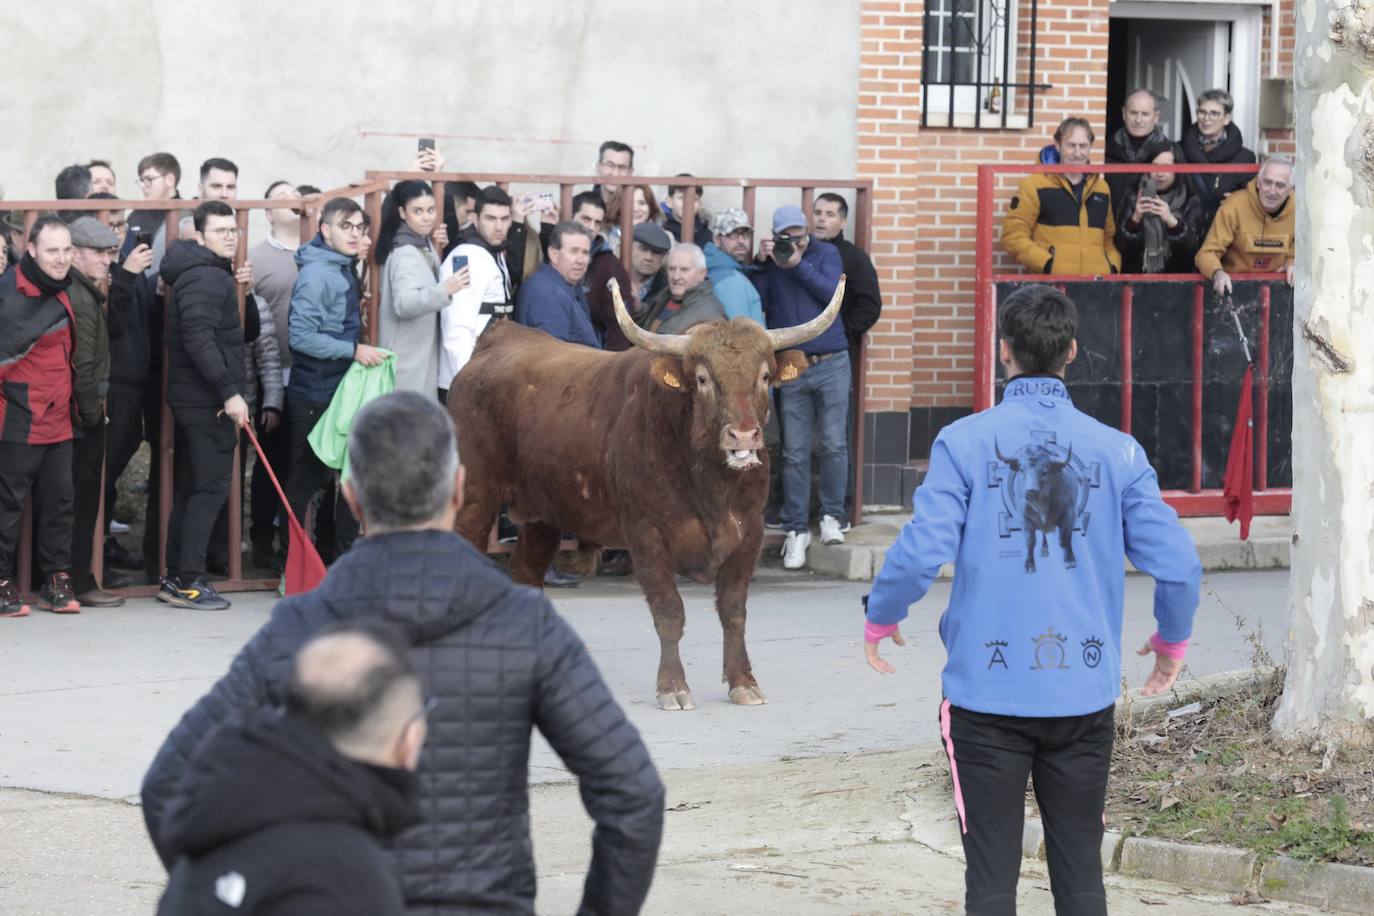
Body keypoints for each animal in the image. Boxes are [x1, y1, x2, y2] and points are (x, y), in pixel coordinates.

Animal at [450, 277, 840, 708]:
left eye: (765, 376)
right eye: (702, 379)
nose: (743, 436)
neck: (712, 487)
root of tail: (497, 342)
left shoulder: (750, 533)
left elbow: (733, 609)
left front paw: (743, 682)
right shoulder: (646, 536)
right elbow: (669, 612)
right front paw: (673, 687)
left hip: (543, 515)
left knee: (525, 573)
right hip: (475, 495)